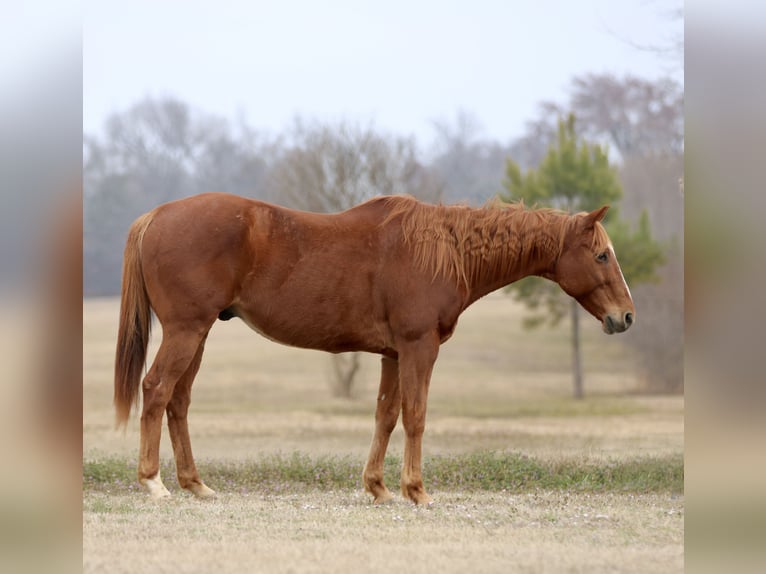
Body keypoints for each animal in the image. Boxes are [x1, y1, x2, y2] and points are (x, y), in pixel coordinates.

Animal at [114, 192, 635, 504]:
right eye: (601, 255)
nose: (626, 317)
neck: (444, 250)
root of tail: (156, 215)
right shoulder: (419, 347)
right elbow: (416, 415)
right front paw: (416, 490)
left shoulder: (393, 354)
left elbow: (385, 414)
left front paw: (379, 487)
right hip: (186, 331)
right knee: (156, 390)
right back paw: (153, 482)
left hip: (198, 334)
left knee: (178, 401)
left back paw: (195, 484)